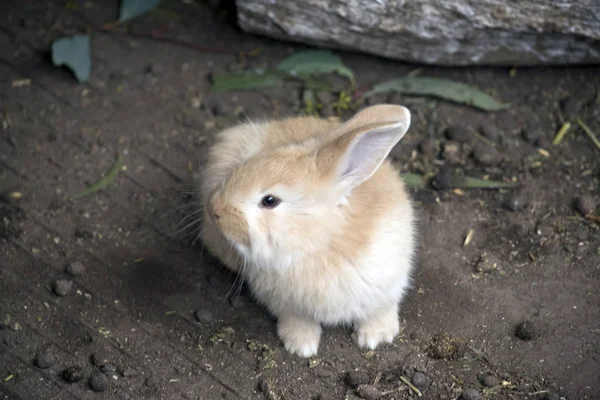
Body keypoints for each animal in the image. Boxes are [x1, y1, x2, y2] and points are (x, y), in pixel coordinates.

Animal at [199, 104, 414, 358]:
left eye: (270, 201)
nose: (214, 208)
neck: (321, 242)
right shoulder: (290, 306)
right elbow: (298, 321)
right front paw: (301, 346)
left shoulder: (387, 287)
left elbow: (381, 310)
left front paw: (377, 337)